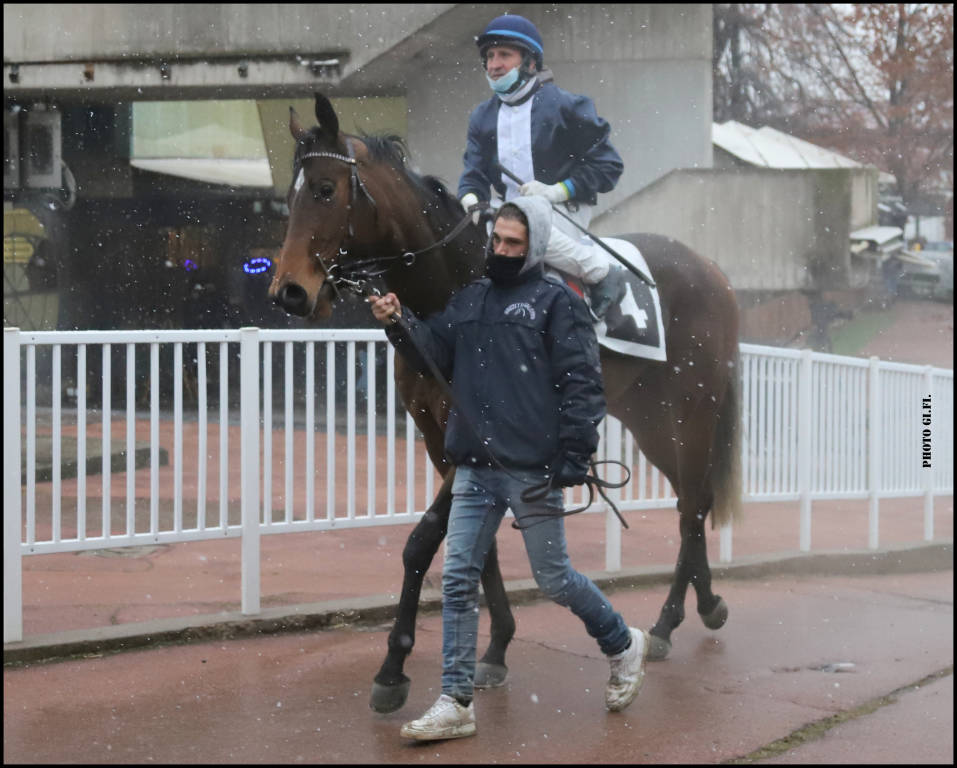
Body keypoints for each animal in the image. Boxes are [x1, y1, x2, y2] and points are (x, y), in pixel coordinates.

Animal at [266, 94, 744, 712]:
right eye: (290, 191)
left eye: (325, 189)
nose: (289, 291)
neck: (455, 288)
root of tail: (714, 273)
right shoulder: (443, 439)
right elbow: (479, 541)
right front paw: (495, 648)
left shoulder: (478, 433)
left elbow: (422, 542)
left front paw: (394, 668)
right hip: (650, 420)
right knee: (694, 498)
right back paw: (700, 608)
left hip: (693, 408)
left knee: (693, 505)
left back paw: (664, 622)